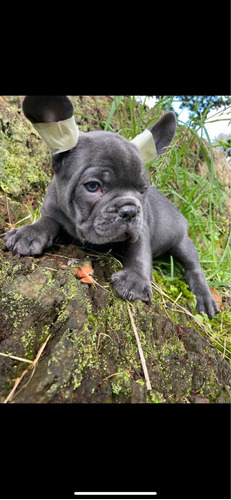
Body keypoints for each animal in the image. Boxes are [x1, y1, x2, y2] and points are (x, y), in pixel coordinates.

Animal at [1, 94, 218, 316]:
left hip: (182, 241)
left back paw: (204, 298)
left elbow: (140, 253)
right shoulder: (54, 212)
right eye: (92, 186)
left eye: (143, 190)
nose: (130, 211)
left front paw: (135, 279)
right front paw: (28, 233)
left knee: (194, 267)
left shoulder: (142, 230)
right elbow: (46, 221)